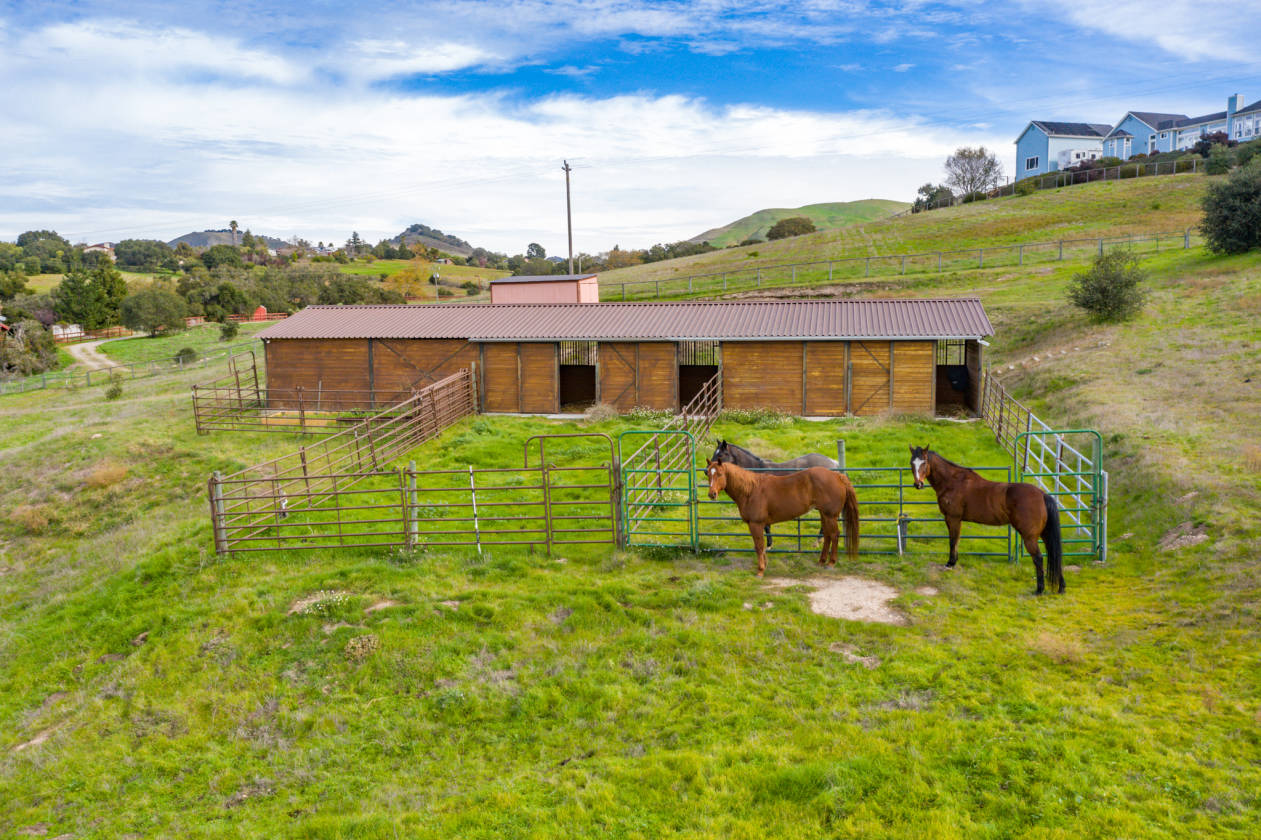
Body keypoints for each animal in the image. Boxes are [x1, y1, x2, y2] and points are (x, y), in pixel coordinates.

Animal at [705, 459, 860, 577]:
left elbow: (759, 546)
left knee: (834, 535)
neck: (750, 490)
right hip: (824, 514)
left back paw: (831, 563)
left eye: (719, 474)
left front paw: (760, 571)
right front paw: (765, 565)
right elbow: (761, 545)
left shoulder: (756, 524)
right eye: (708, 474)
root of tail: (837, 476)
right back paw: (821, 561)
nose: (712, 494)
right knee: (827, 535)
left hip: (830, 515)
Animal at [710, 440, 840, 546]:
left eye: (720, 455)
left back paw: (818, 541)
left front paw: (768, 545)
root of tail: (833, 463)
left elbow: (766, 527)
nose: (707, 470)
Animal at [908, 445, 1064, 595]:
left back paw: (1039, 590)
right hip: (1044, 534)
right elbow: (956, 540)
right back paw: (1061, 588)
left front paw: (950, 563)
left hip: (1029, 537)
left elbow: (953, 540)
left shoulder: (953, 518)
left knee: (1038, 558)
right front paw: (953, 562)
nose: (918, 484)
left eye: (924, 462)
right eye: (912, 463)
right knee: (1054, 555)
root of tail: (1042, 495)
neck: (952, 482)